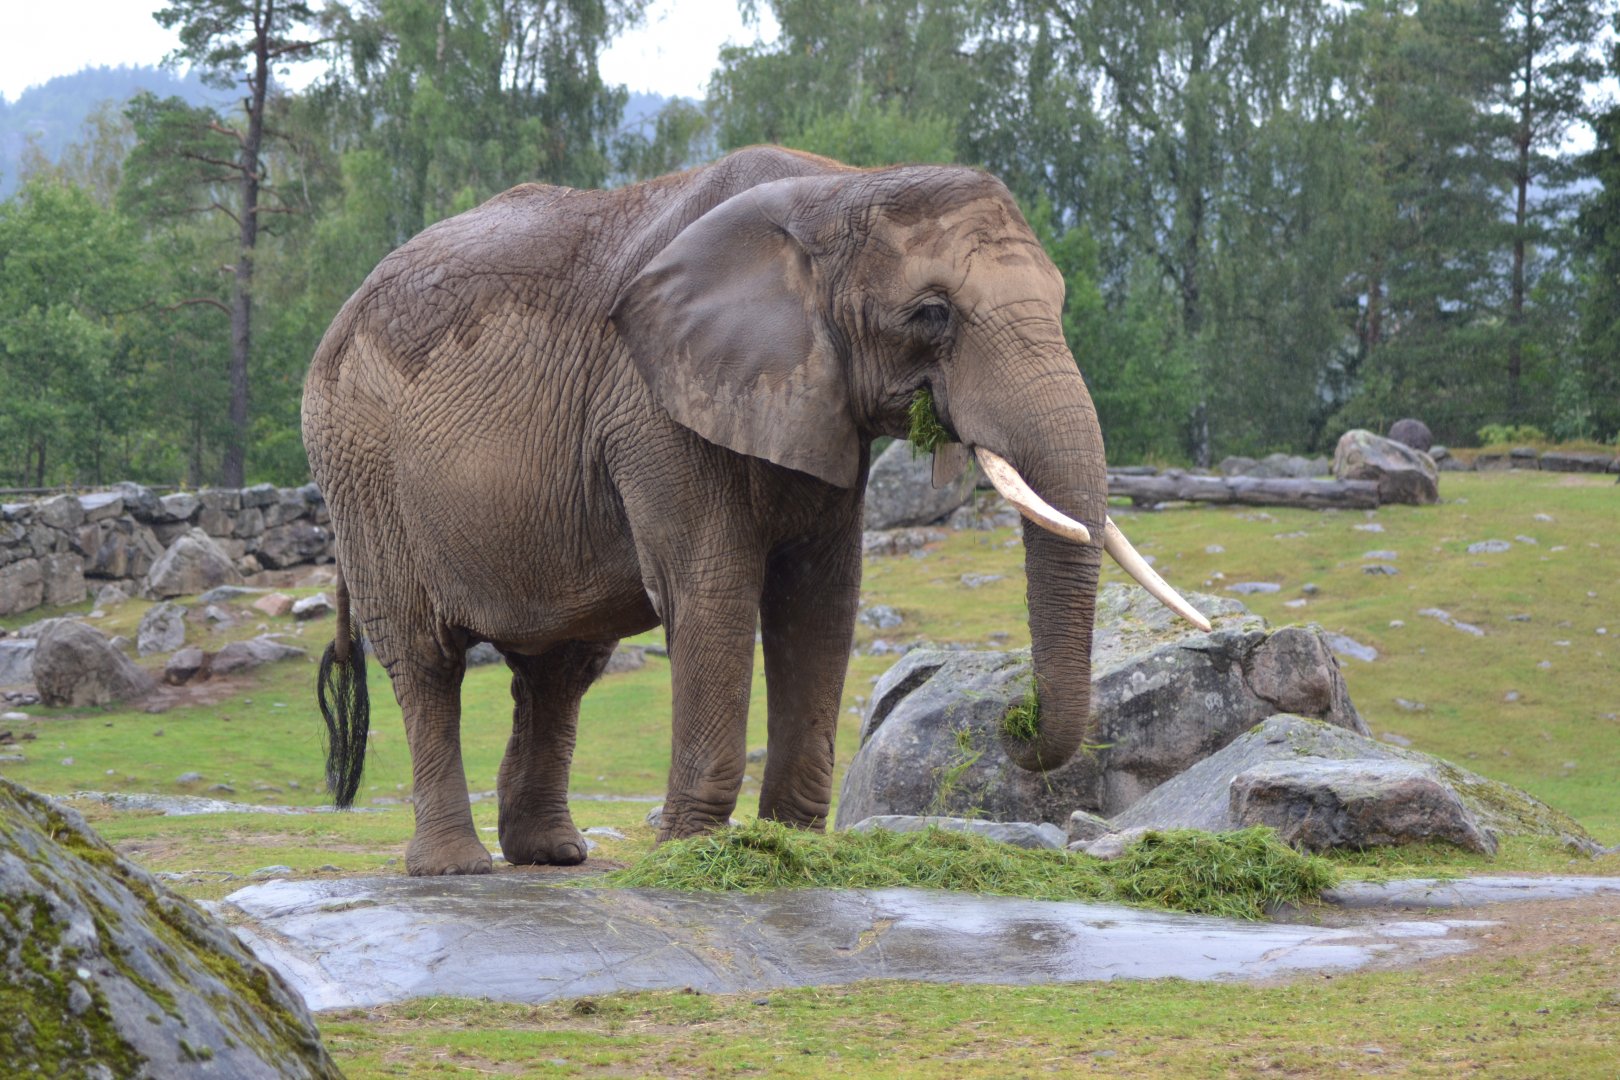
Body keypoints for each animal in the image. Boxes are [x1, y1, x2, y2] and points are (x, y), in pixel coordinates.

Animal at [302, 145, 1206, 876]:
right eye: (933, 314)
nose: (1014, 725)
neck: (840, 189)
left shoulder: (818, 406)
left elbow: (821, 602)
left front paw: (793, 848)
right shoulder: (655, 403)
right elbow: (712, 592)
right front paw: (696, 854)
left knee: (562, 668)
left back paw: (553, 855)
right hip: (361, 470)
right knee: (427, 660)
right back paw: (454, 868)